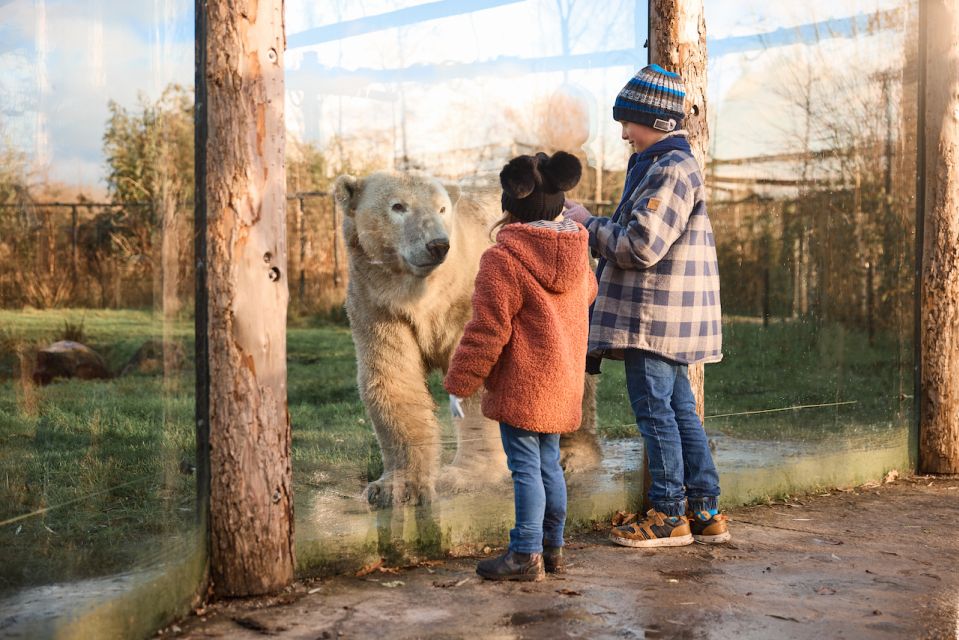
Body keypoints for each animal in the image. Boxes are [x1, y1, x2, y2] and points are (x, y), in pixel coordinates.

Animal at [334, 171, 596, 510]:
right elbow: (393, 378)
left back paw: (574, 454)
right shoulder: (378, 307)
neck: (423, 294)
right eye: (398, 206)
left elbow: (477, 372)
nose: (437, 245)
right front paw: (394, 488)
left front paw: (466, 476)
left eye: (442, 208)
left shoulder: (468, 298)